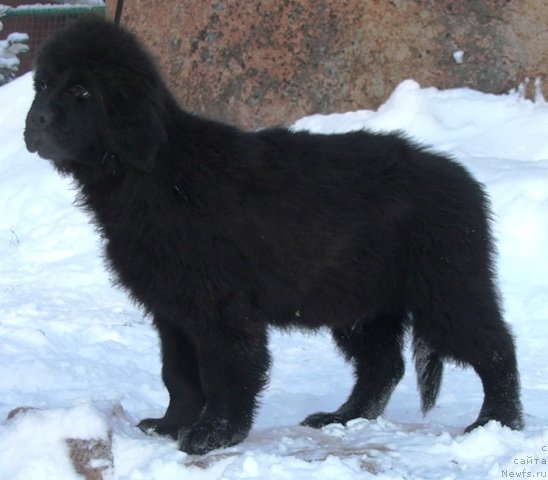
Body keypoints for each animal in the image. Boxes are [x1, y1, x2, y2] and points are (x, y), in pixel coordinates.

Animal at [23, 16, 524, 456]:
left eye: (82, 90)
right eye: (42, 86)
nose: (36, 122)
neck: (150, 175)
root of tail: (462, 178)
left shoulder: (220, 306)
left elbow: (223, 371)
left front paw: (213, 434)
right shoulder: (172, 307)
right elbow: (178, 373)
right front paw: (171, 425)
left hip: (446, 288)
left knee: (496, 348)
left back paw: (498, 421)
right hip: (360, 303)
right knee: (383, 365)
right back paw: (344, 418)